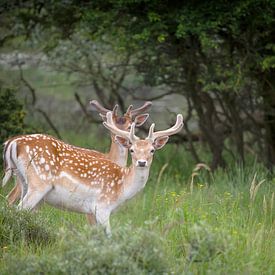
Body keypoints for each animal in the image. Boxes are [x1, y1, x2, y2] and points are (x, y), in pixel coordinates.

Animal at [2, 100, 152, 208]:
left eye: (130, 126)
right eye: (111, 128)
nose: (120, 139)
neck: (111, 158)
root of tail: (11, 142)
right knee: (11, 198)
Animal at [3, 111, 184, 235]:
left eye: (152, 150)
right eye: (132, 150)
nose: (141, 162)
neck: (122, 188)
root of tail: (13, 142)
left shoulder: (92, 211)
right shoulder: (102, 206)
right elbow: (109, 236)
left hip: (23, 182)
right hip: (39, 183)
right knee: (19, 209)